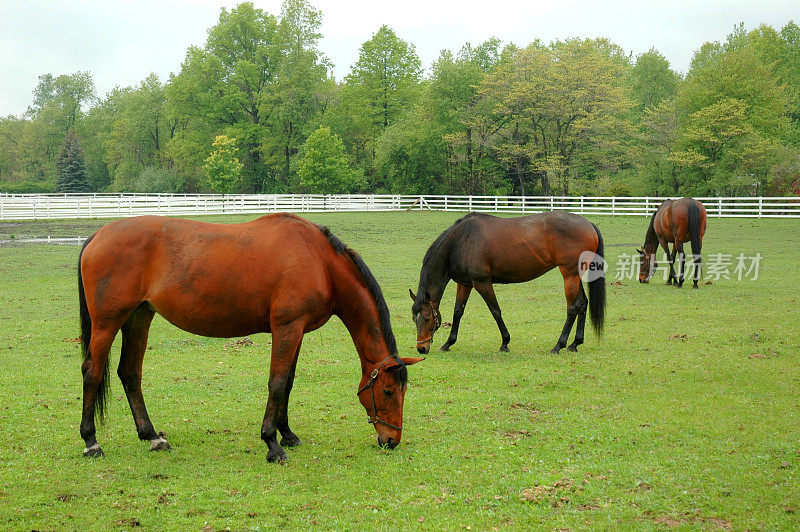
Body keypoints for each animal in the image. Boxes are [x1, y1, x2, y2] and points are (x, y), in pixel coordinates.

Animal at [77, 214, 422, 464]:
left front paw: (287, 434)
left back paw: (151, 436)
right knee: (92, 372)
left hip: (138, 318)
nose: (391, 440)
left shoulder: (297, 331)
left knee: (129, 373)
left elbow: (289, 383)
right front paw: (272, 443)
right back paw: (91, 442)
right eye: (388, 391)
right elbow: (277, 383)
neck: (319, 261)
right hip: (108, 322)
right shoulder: (286, 328)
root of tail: (98, 235)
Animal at [412, 211, 608, 354]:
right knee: (582, 304)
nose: (421, 348)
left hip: (569, 276)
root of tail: (588, 224)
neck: (461, 241)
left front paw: (505, 342)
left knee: (572, 308)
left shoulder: (482, 282)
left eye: (427, 318)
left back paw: (559, 345)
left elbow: (495, 310)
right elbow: (458, 312)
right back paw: (575, 343)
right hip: (576, 275)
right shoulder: (465, 283)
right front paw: (448, 343)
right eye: (415, 319)